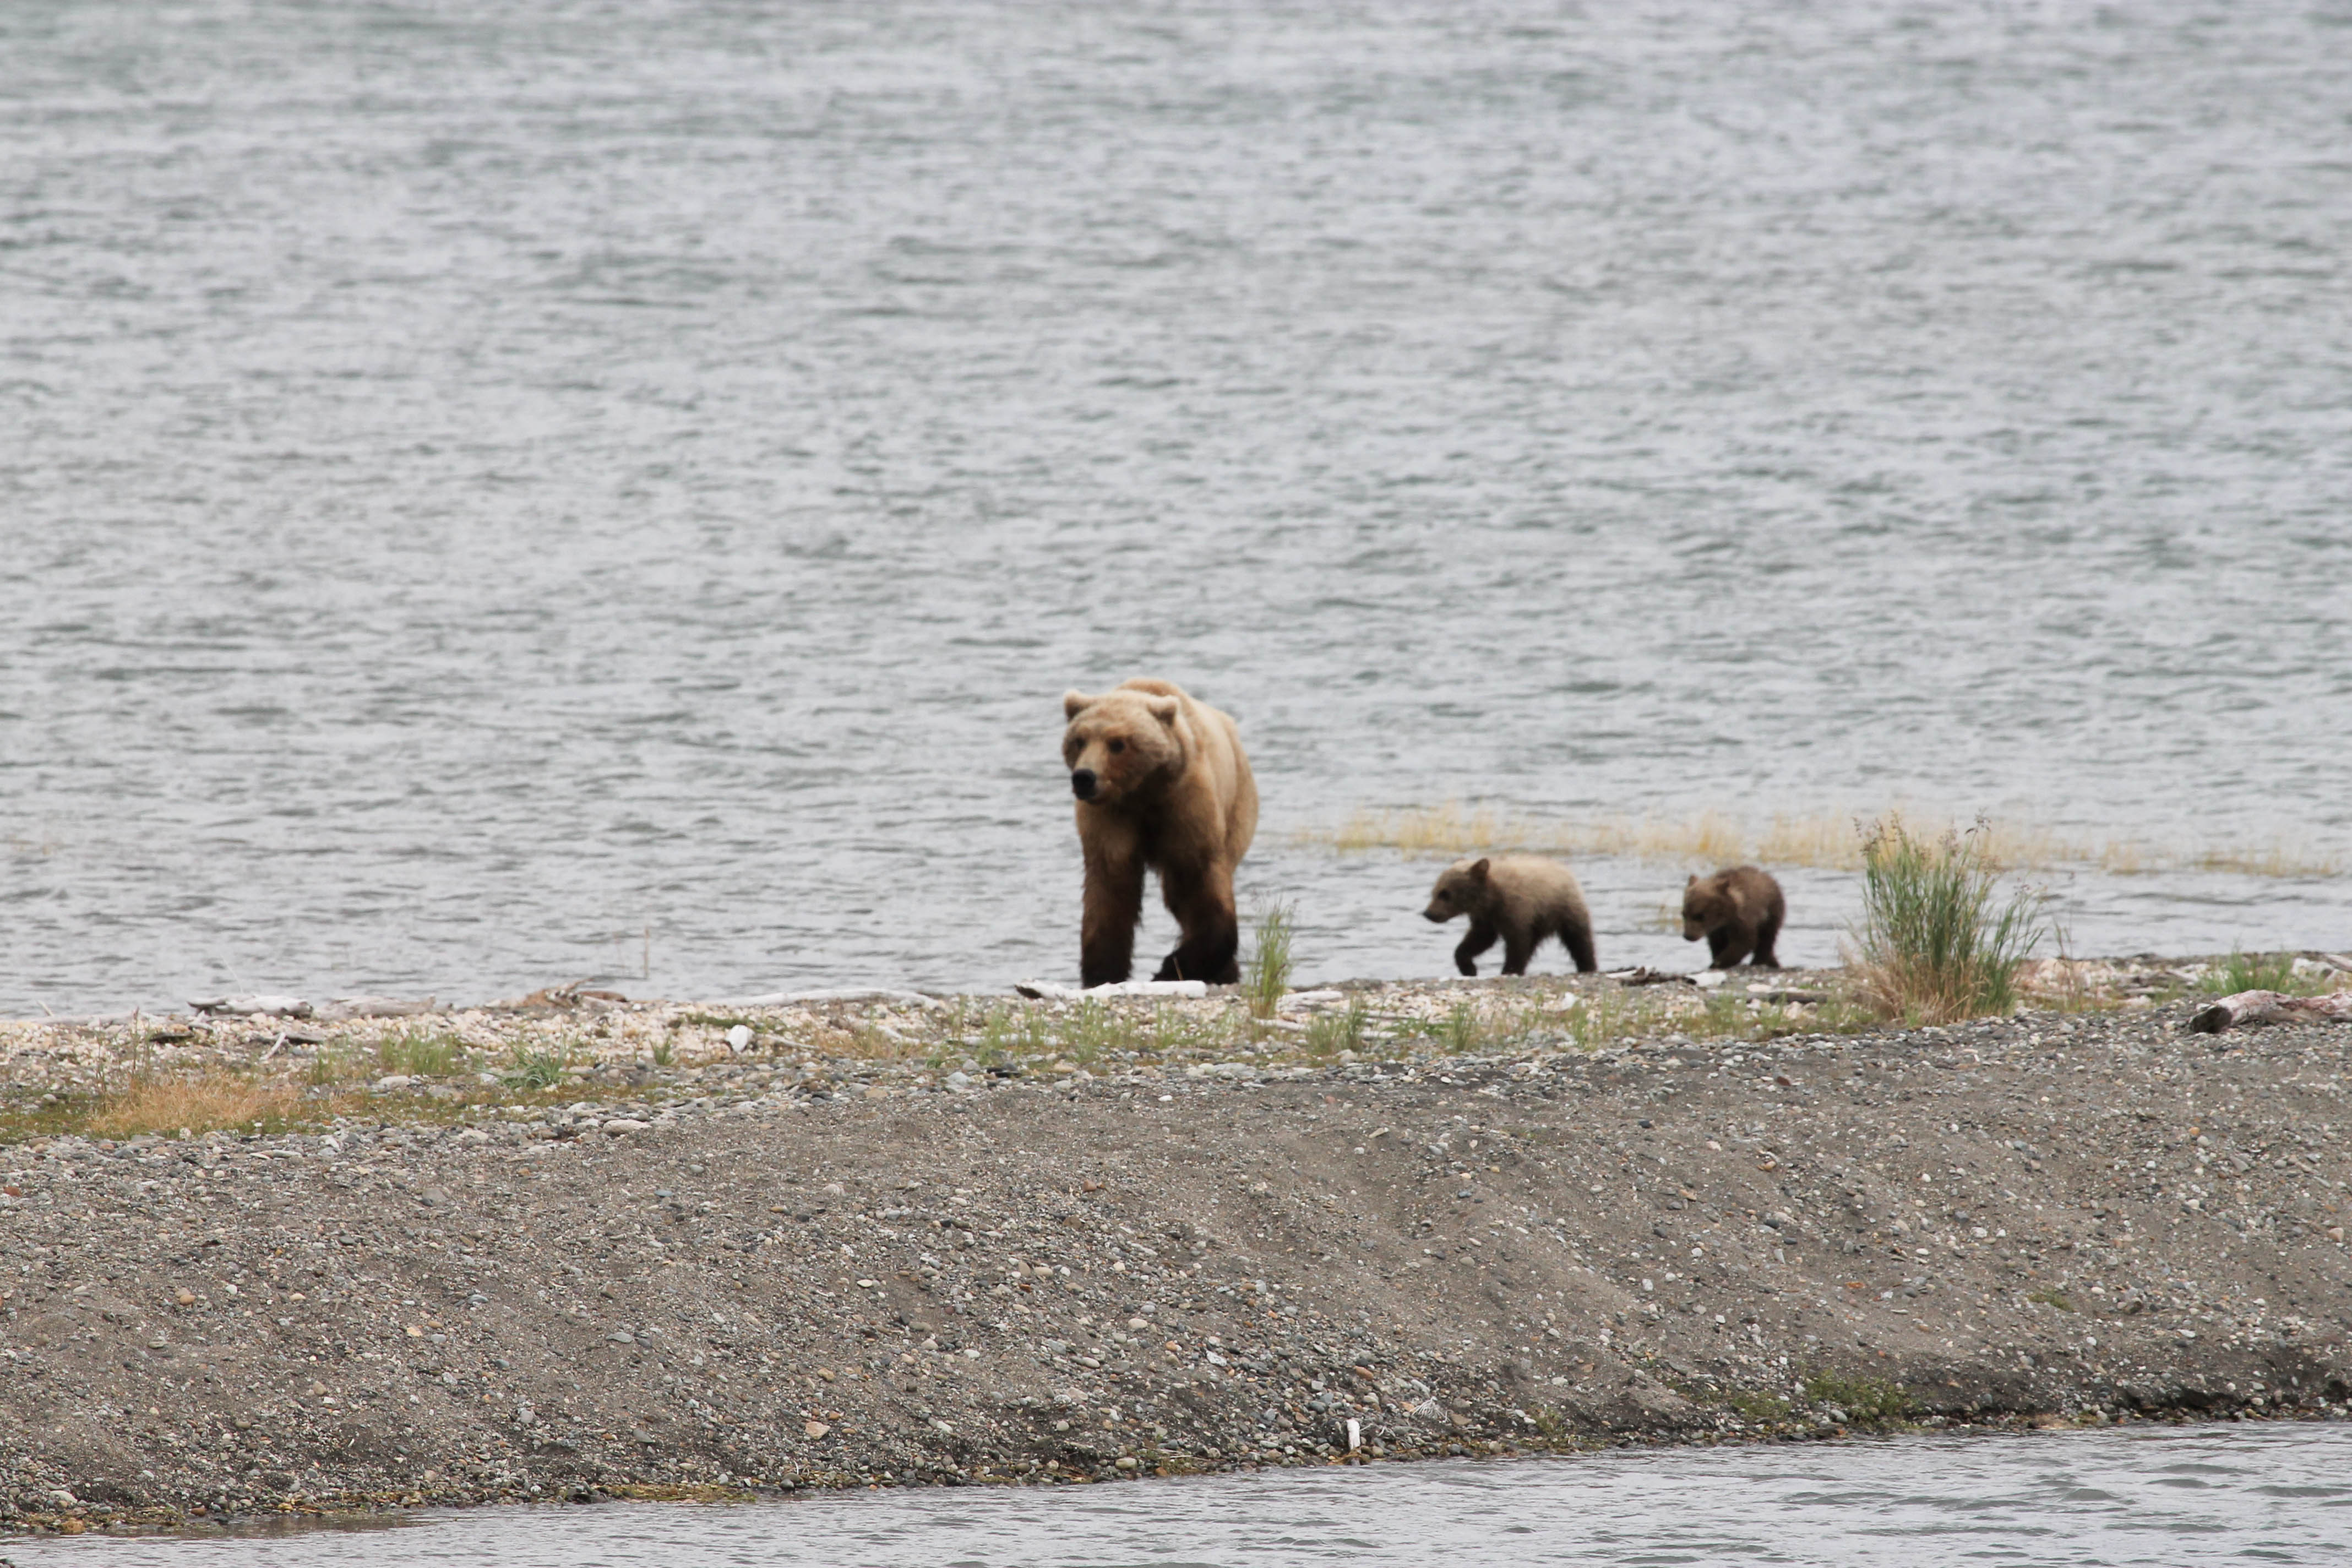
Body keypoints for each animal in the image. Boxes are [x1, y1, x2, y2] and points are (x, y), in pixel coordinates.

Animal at [1062, 678, 1258, 988]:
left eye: (1117, 743)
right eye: (1079, 740)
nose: (1084, 777)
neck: (1144, 792)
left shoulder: (1186, 806)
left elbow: (1199, 881)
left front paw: (1172, 968)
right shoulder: (1111, 817)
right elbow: (1111, 887)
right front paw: (1103, 973)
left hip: (1238, 806)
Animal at [1422, 855, 1597, 976]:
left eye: (1445, 894)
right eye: (1434, 892)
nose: (1428, 913)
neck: (1490, 899)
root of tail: (1565, 869)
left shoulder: (1517, 909)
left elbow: (1517, 941)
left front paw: (1509, 970)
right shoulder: (1485, 918)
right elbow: (1480, 939)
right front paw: (1469, 968)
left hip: (1564, 908)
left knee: (1579, 939)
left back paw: (1588, 966)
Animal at [1681, 865, 1785, 969]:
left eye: (1700, 916)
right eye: (1684, 914)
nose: (1688, 936)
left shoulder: (1742, 919)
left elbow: (1744, 941)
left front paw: (1717, 964)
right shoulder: (1717, 930)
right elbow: (1717, 944)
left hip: (1771, 912)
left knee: (1766, 938)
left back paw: (1758, 961)